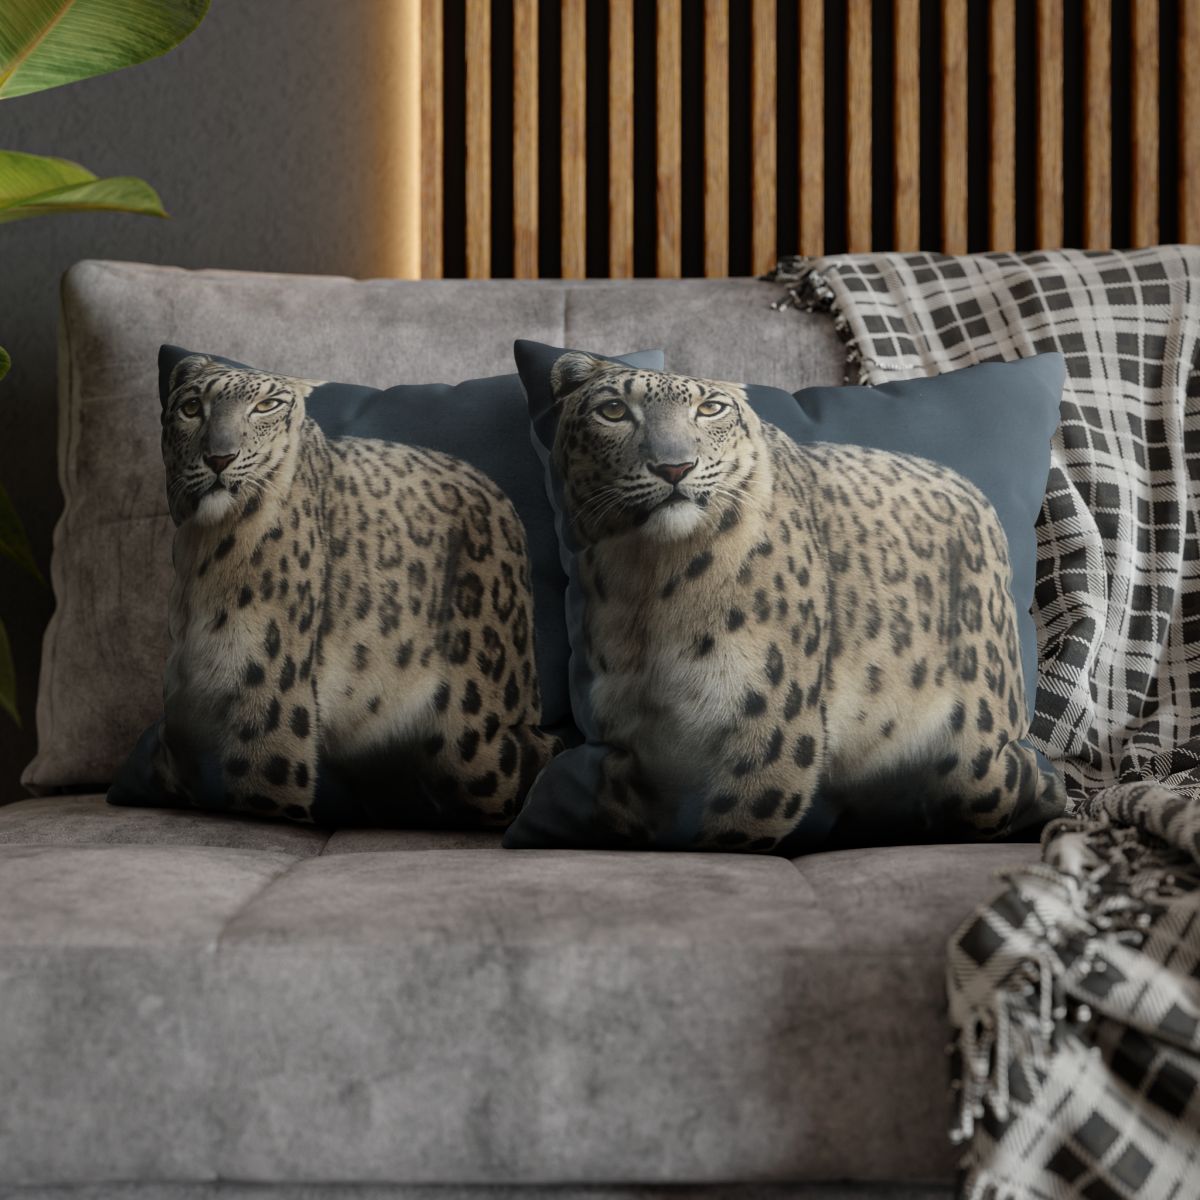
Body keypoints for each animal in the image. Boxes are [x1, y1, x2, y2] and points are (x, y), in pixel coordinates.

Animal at [145, 354, 558, 826]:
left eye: (267, 405)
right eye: (191, 407)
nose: (219, 458)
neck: (199, 556)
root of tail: (502, 501)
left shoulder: (268, 697)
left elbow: (267, 783)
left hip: (476, 733)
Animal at [550, 352, 1063, 852]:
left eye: (711, 408)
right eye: (613, 410)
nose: (674, 467)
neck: (647, 585)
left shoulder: (771, 721)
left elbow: (741, 827)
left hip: (981, 746)